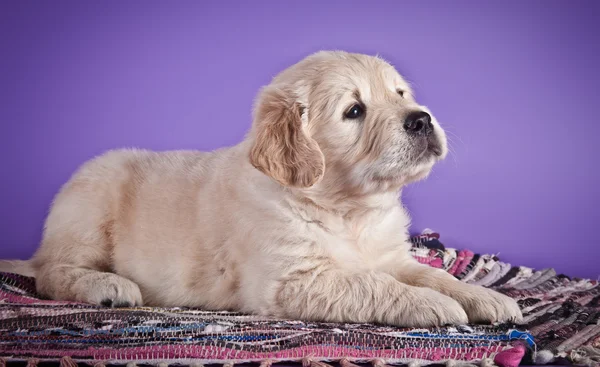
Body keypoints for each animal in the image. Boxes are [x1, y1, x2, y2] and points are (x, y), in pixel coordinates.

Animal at [0, 51, 520, 328]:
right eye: (354, 111)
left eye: (401, 94)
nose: (422, 119)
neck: (348, 210)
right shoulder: (291, 282)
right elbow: (371, 284)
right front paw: (435, 306)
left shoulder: (391, 255)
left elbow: (431, 274)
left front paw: (483, 297)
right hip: (89, 205)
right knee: (50, 274)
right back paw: (109, 286)